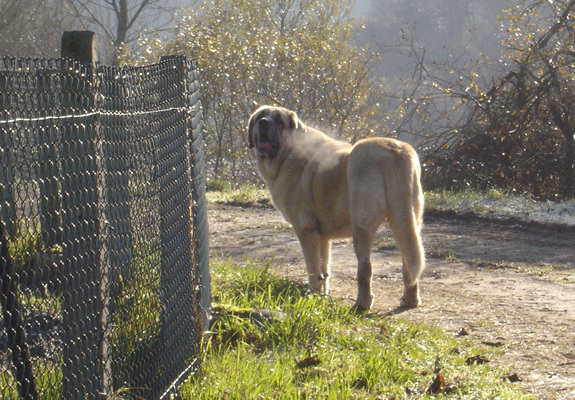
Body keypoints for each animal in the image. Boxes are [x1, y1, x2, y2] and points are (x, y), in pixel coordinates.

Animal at [246, 105, 424, 310]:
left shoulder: (306, 231)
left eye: (278, 119)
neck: (286, 154)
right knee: (408, 261)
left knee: (365, 267)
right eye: (260, 116)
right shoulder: (322, 236)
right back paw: (410, 299)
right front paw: (322, 296)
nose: (263, 123)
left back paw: (362, 304)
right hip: (406, 221)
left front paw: (312, 296)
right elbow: (324, 269)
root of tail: (395, 149)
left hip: (362, 226)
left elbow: (313, 268)